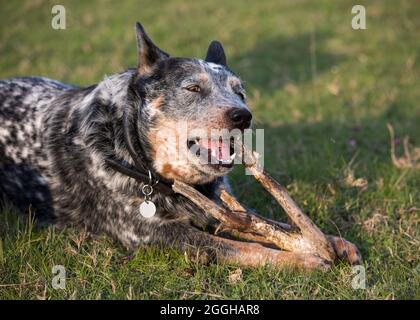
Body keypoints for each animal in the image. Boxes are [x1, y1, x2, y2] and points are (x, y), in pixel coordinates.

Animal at [0, 22, 358, 268]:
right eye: (193, 88)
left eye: (240, 92)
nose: (243, 116)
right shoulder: (151, 233)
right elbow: (243, 247)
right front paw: (303, 259)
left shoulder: (217, 206)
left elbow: (275, 223)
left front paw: (332, 241)